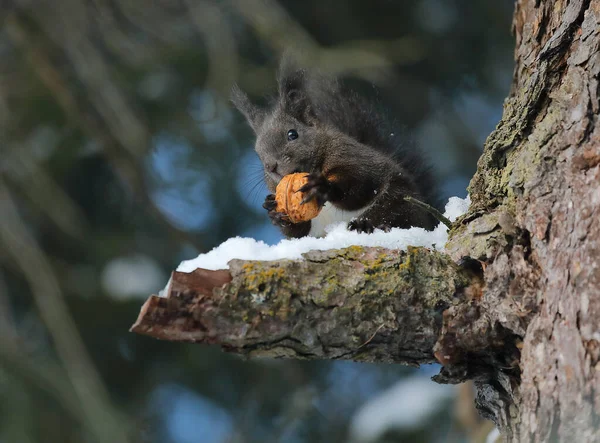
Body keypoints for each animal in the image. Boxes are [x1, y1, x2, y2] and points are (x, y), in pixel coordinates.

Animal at [232, 59, 442, 241]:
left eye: (292, 134)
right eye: (257, 152)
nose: (271, 166)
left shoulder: (352, 156)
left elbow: (362, 184)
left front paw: (322, 187)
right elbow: (299, 232)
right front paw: (273, 209)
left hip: (399, 200)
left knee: (394, 215)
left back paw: (366, 224)